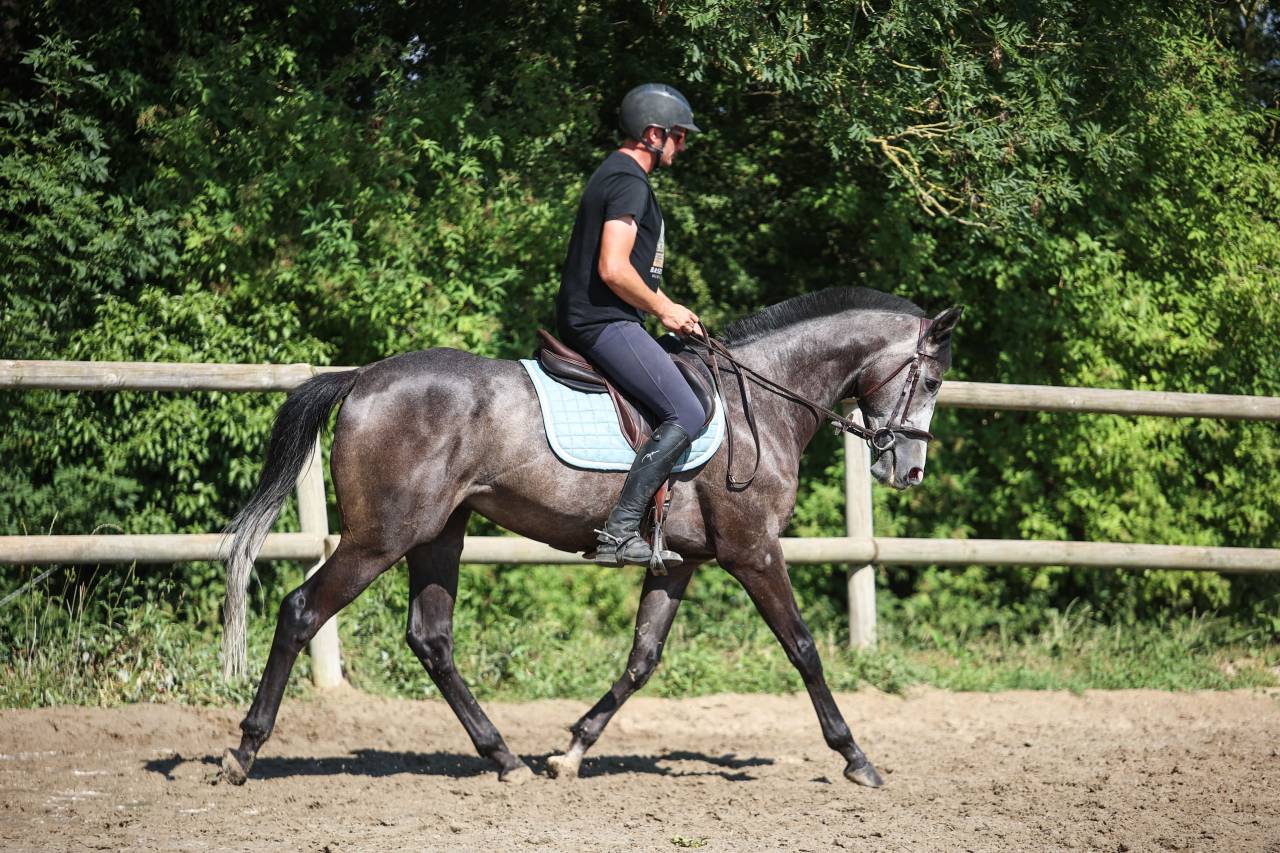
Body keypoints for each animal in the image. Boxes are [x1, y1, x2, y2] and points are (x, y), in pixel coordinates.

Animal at [217, 286, 963, 788]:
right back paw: (243, 752)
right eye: (929, 379)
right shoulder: (753, 552)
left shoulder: (679, 562)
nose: (908, 469)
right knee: (302, 611)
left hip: (438, 534)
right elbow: (804, 648)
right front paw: (856, 757)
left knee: (431, 639)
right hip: (380, 537)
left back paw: (505, 758)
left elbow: (643, 658)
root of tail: (362, 378)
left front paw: (571, 750)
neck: (764, 401)